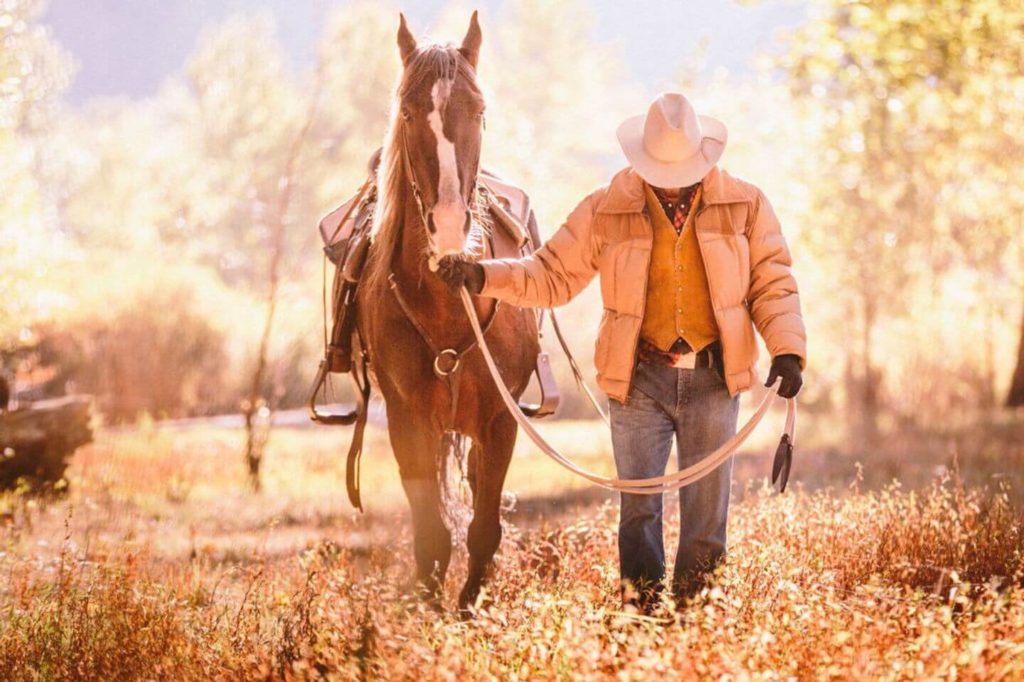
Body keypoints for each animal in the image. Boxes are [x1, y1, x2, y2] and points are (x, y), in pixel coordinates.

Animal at [355, 12, 539, 612]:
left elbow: (483, 528)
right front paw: (431, 613)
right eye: (410, 112)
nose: (453, 229)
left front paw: (467, 610)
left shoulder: (500, 422)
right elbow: (431, 534)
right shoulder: (408, 422)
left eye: (478, 111)